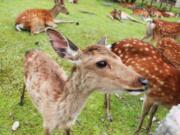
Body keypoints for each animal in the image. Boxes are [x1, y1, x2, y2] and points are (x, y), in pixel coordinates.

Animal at [19, 28, 148, 135]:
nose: (144, 81)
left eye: (119, 58)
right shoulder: (46, 123)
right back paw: (20, 102)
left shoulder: (69, 125)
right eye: (101, 63)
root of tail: (30, 50)